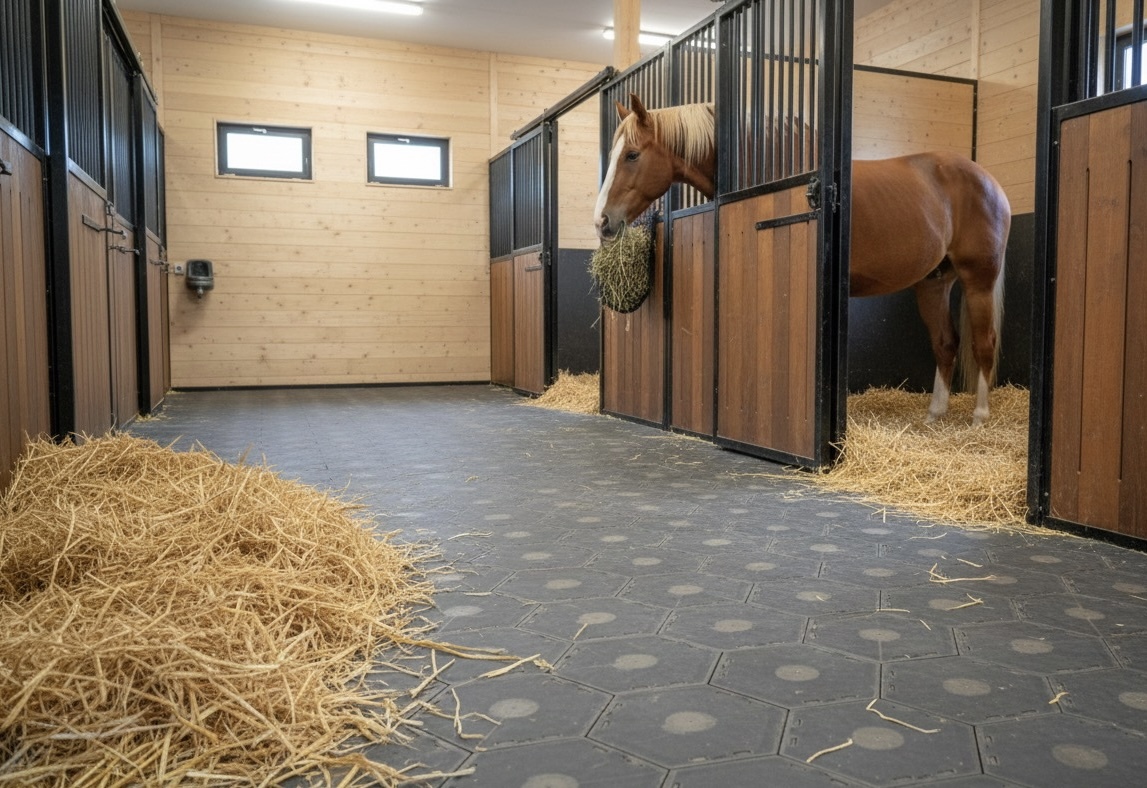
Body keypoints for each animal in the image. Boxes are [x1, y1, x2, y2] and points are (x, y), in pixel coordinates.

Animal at [594, 93, 1011, 426]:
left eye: (632, 155)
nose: (602, 222)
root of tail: (990, 182)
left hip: (978, 279)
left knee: (984, 342)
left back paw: (979, 417)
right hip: (934, 282)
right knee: (946, 343)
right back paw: (934, 415)